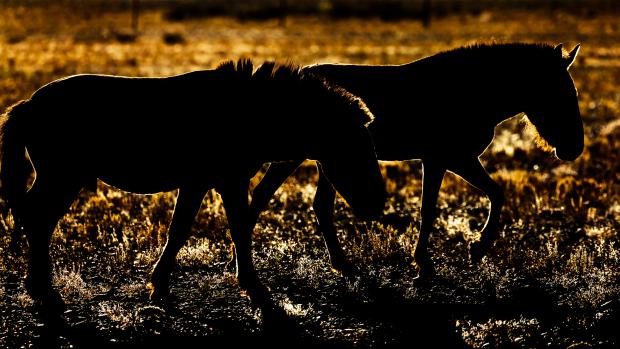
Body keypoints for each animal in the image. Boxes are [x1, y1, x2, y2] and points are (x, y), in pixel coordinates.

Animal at [0, 58, 388, 308]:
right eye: (353, 149)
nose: (377, 203)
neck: (250, 112)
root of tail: (27, 105)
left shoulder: (199, 183)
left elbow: (182, 230)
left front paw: (159, 286)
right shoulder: (226, 181)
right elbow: (236, 228)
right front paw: (253, 286)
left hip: (62, 178)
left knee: (36, 218)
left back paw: (38, 283)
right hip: (62, 176)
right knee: (37, 219)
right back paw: (40, 287)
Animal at [249, 43, 584, 278]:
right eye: (562, 94)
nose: (574, 148)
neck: (472, 91)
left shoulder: (454, 159)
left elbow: (495, 193)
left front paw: (474, 248)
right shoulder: (447, 158)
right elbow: (431, 209)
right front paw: (430, 263)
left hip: (328, 162)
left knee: (318, 206)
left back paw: (342, 265)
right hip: (297, 157)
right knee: (263, 196)